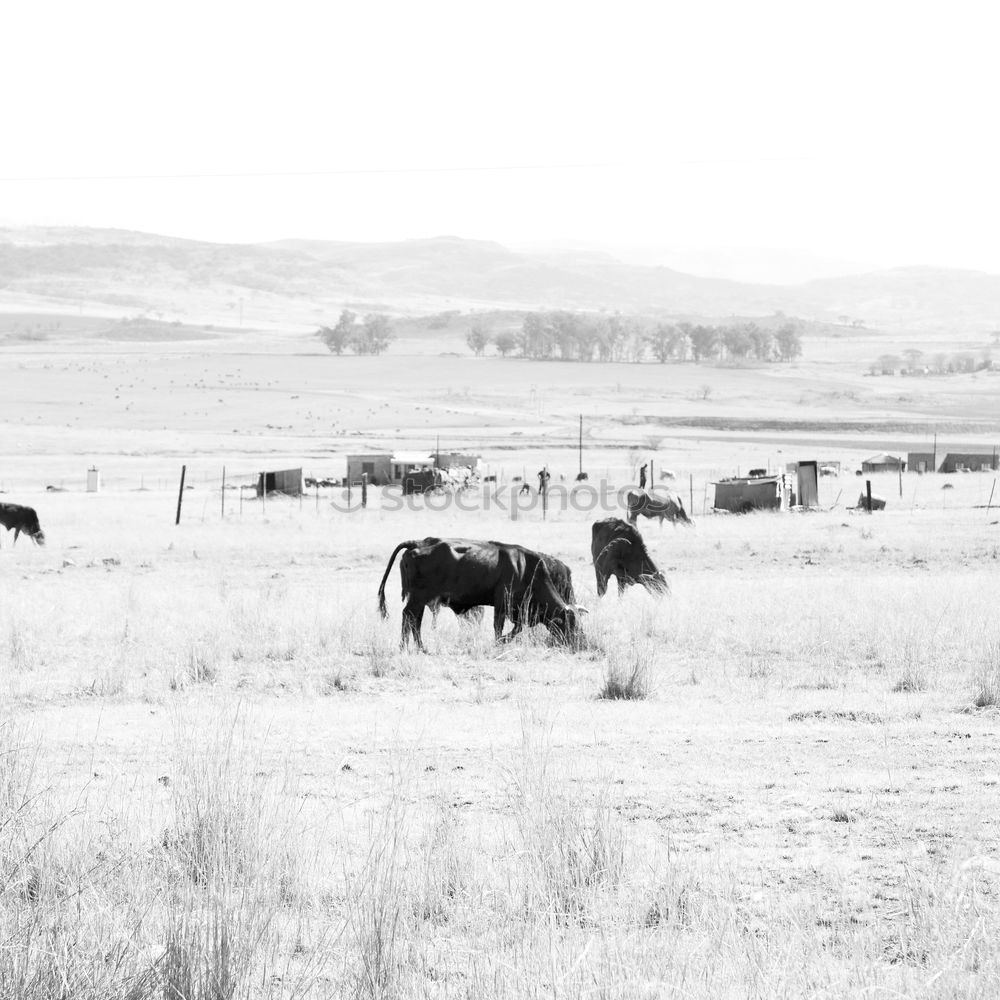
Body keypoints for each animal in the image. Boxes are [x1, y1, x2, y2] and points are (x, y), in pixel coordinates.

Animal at [376, 536, 584, 652]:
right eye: (570, 624)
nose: (579, 642)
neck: (526, 570)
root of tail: (418, 543)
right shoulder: (502, 605)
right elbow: (500, 628)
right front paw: (499, 642)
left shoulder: (518, 611)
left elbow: (518, 628)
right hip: (418, 598)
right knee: (409, 617)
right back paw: (407, 647)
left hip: (419, 600)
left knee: (414, 620)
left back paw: (418, 647)